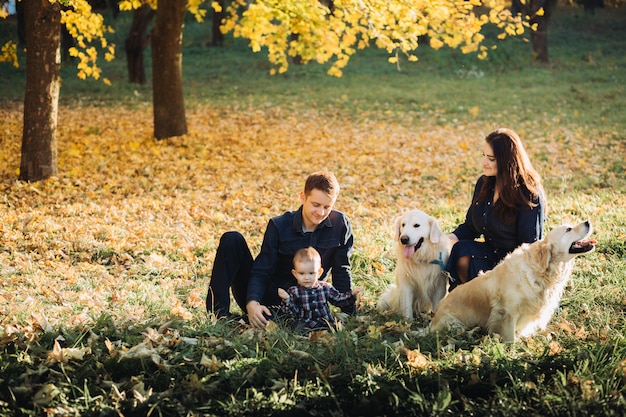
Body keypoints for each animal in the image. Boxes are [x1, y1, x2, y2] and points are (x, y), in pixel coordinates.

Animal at [428, 221, 596, 342]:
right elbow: (510, 337)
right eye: (568, 229)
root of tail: (433, 321)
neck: (540, 273)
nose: (588, 222)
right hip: (455, 324)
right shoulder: (507, 312)